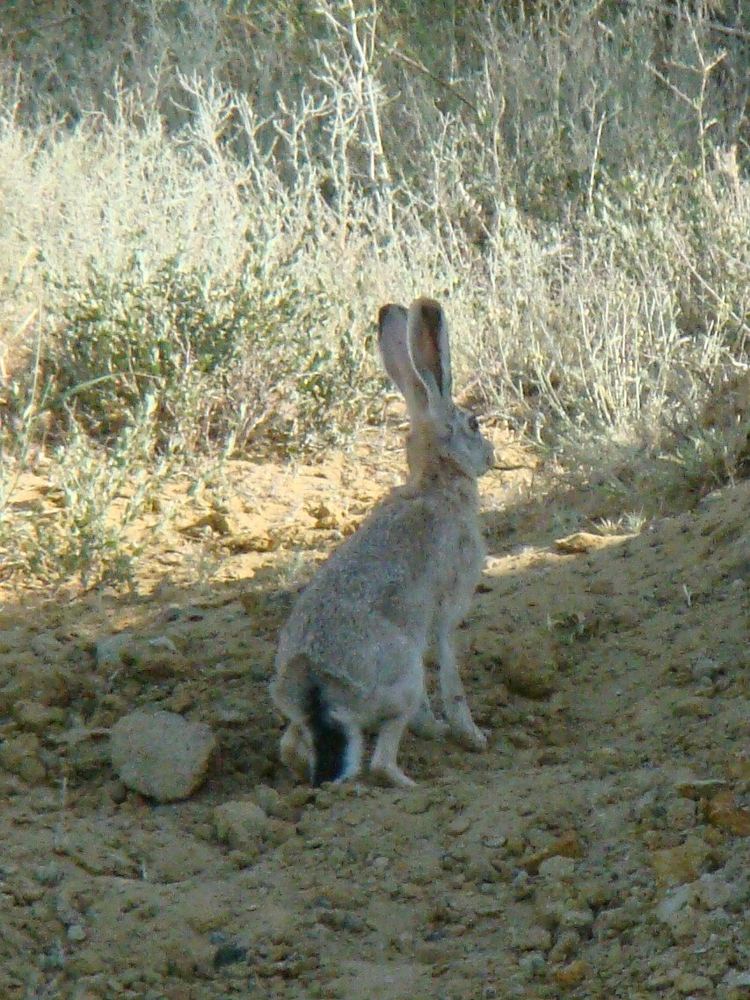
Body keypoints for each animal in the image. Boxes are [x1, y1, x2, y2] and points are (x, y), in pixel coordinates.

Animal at [270, 297, 494, 788]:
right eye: (473, 423)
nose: (491, 456)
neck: (434, 484)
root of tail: (319, 688)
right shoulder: (445, 612)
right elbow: (451, 674)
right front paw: (471, 735)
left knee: (291, 749)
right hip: (404, 674)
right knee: (381, 761)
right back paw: (418, 779)